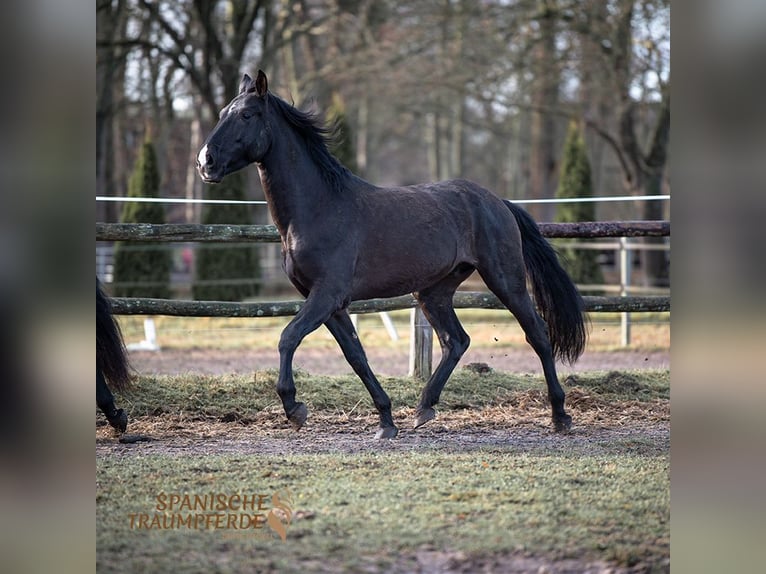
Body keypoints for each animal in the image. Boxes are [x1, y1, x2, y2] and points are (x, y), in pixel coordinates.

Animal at [198, 72, 588, 440]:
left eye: (246, 114)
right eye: (222, 113)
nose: (206, 162)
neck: (319, 209)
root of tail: (498, 202)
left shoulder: (326, 295)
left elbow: (288, 338)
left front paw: (295, 408)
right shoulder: (329, 302)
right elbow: (356, 356)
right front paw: (385, 421)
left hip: (505, 280)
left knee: (537, 334)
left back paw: (560, 416)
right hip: (433, 291)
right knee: (456, 340)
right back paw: (423, 409)